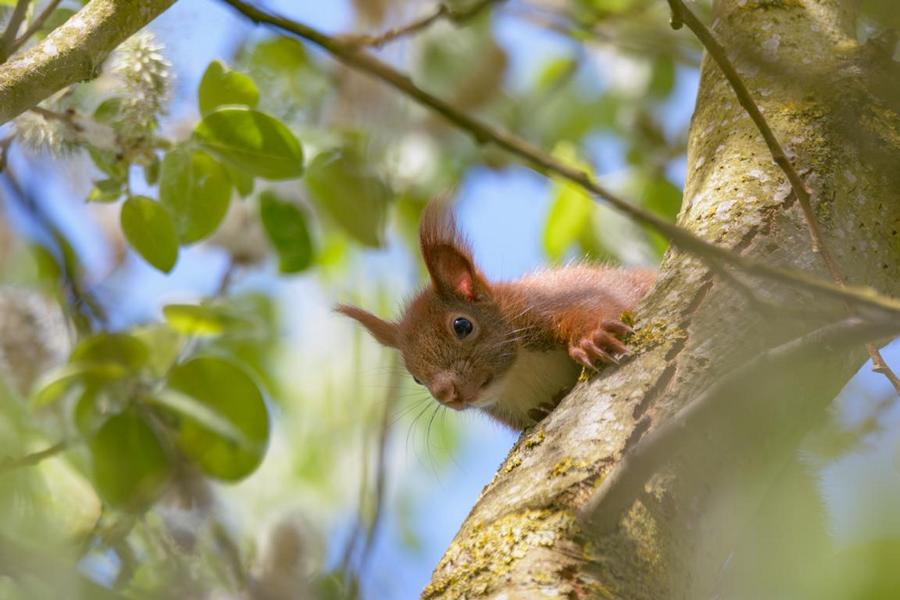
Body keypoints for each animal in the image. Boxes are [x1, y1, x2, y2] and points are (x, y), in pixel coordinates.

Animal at [336, 202, 656, 430]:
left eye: (462, 326)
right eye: (415, 378)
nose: (445, 392)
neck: (517, 372)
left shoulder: (545, 301)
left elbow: (598, 303)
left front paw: (592, 338)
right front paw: (546, 406)